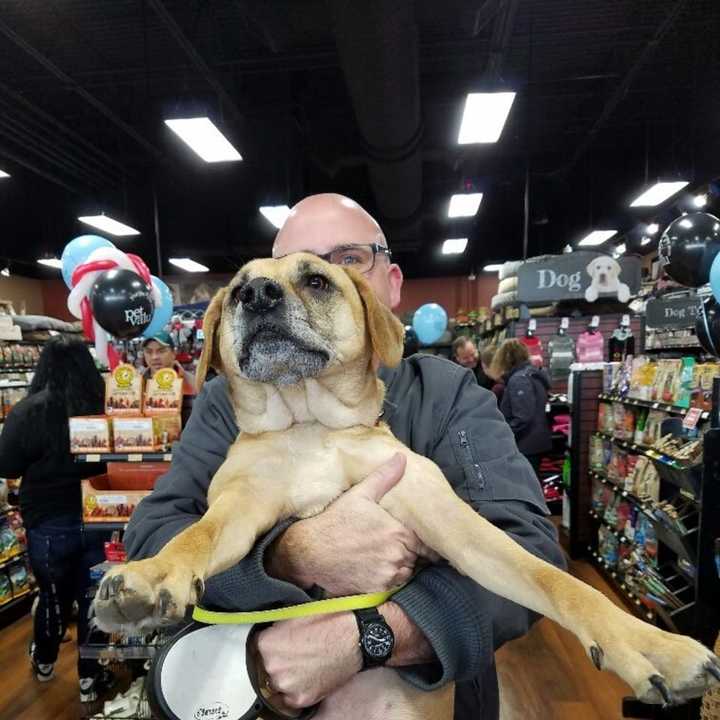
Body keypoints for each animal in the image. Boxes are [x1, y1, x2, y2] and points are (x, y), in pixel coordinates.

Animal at [95, 252, 720, 716]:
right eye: (237, 291)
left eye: (317, 280)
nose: (258, 297)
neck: (308, 421)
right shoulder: (242, 505)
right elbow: (193, 535)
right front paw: (150, 577)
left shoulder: (450, 521)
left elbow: (556, 581)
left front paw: (650, 645)